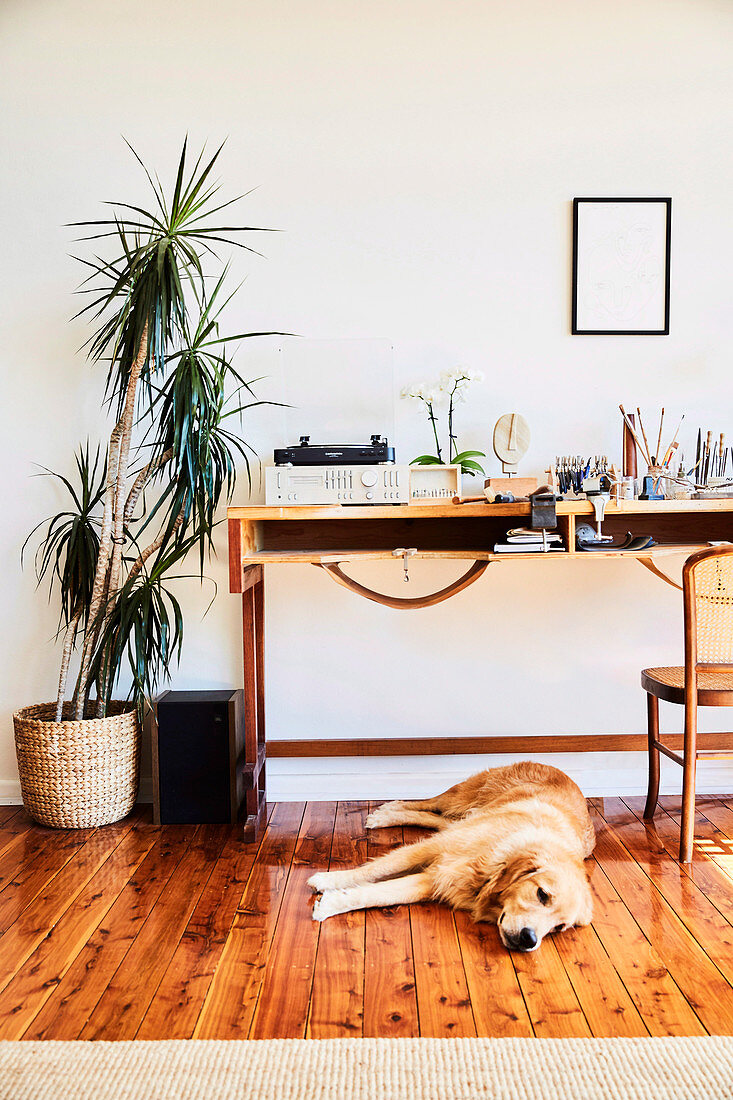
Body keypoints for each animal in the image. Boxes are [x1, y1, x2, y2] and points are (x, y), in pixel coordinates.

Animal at [308, 761, 594, 950]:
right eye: (542, 894)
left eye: (559, 928)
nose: (529, 940)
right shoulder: (432, 848)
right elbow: (372, 870)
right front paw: (327, 880)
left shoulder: (437, 878)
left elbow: (379, 895)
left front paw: (330, 904)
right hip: (462, 795)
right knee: (428, 802)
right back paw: (388, 812)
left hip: (464, 815)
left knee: (436, 819)